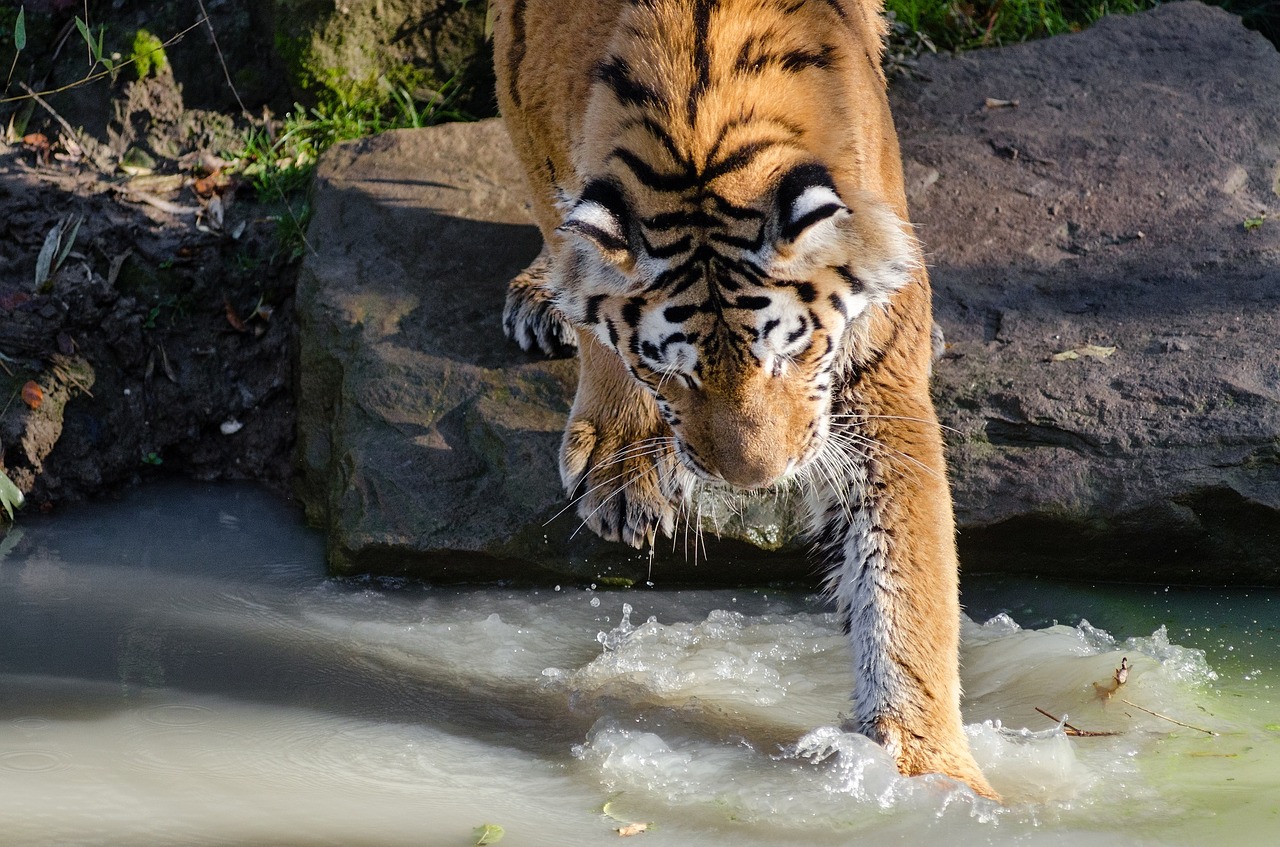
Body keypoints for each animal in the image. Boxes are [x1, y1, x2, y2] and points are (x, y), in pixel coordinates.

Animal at [488, 0, 998, 798]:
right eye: (672, 373)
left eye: (790, 352)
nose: (755, 480)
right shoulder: (527, 94)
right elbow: (577, 262)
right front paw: (618, 458)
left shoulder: (875, 384)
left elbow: (903, 583)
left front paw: (931, 776)